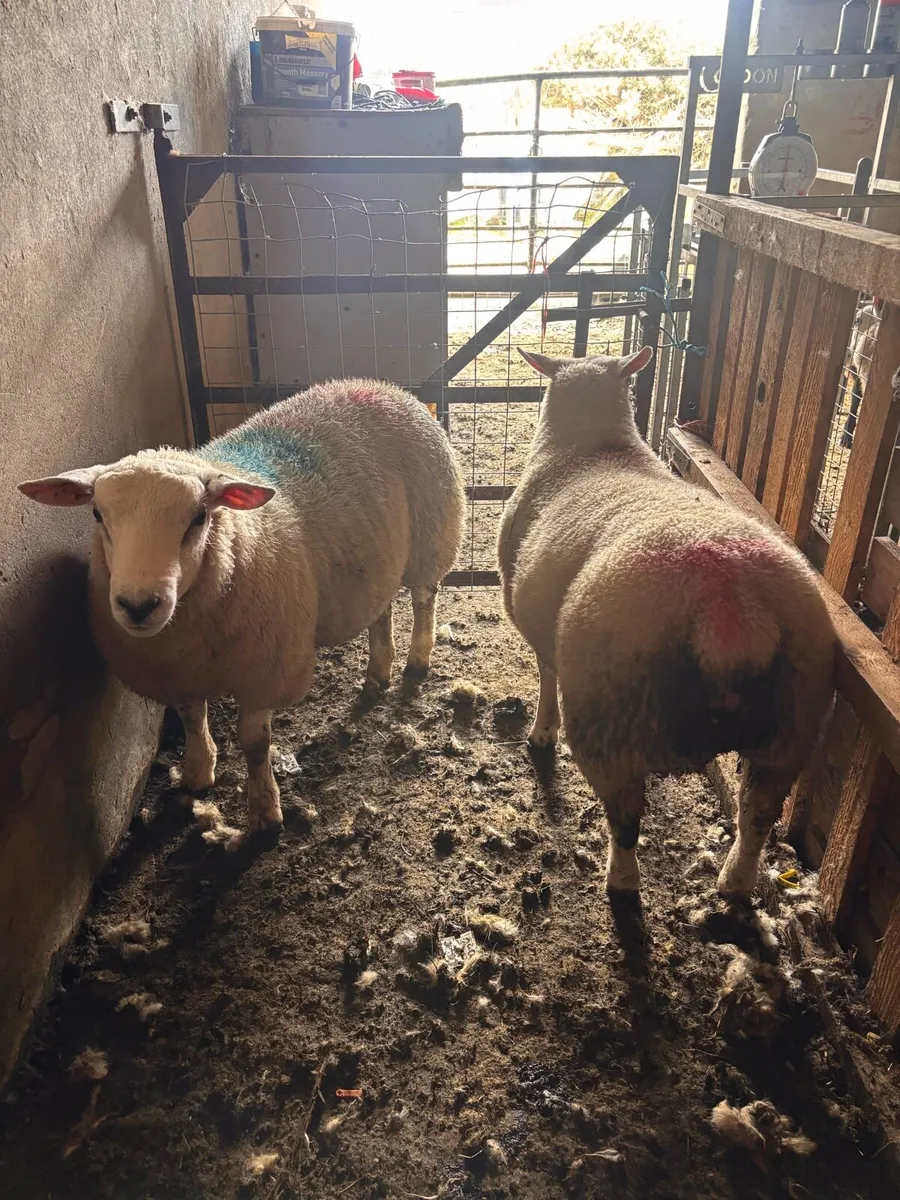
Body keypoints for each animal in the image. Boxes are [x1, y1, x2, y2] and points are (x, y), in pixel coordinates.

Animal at [19, 380, 464, 833]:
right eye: (97, 513)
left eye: (199, 517)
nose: (138, 605)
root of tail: (375, 385)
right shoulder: (180, 668)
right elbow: (191, 716)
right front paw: (198, 772)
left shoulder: (266, 669)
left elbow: (254, 743)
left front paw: (265, 811)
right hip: (379, 557)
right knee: (381, 611)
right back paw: (378, 671)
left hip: (432, 535)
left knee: (424, 599)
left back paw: (417, 660)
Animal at [498, 348, 835, 898]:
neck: (596, 448)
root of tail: (726, 601)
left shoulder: (537, 625)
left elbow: (546, 675)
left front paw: (541, 732)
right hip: (792, 725)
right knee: (757, 818)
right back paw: (735, 882)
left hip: (606, 712)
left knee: (625, 820)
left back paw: (620, 880)